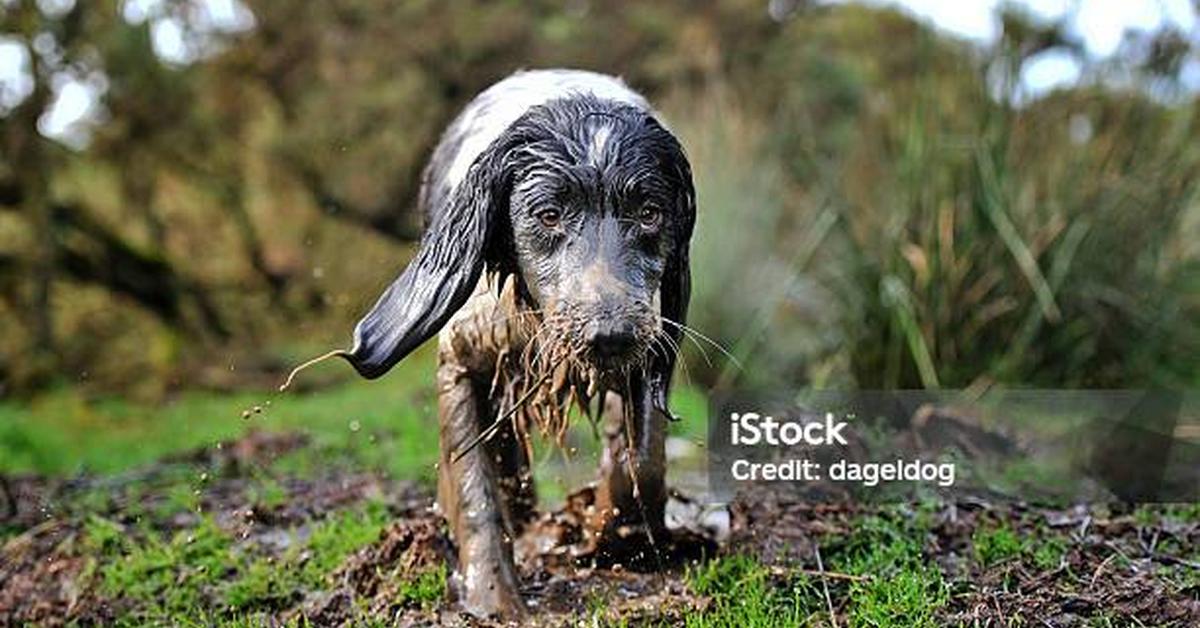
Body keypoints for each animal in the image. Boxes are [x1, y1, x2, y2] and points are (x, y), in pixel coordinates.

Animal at [336, 68, 696, 619]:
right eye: (548, 215)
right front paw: (492, 598)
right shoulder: (462, 360)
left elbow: (642, 460)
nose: (608, 335)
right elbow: (476, 489)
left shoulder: (648, 348)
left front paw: (612, 536)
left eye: (650, 212)